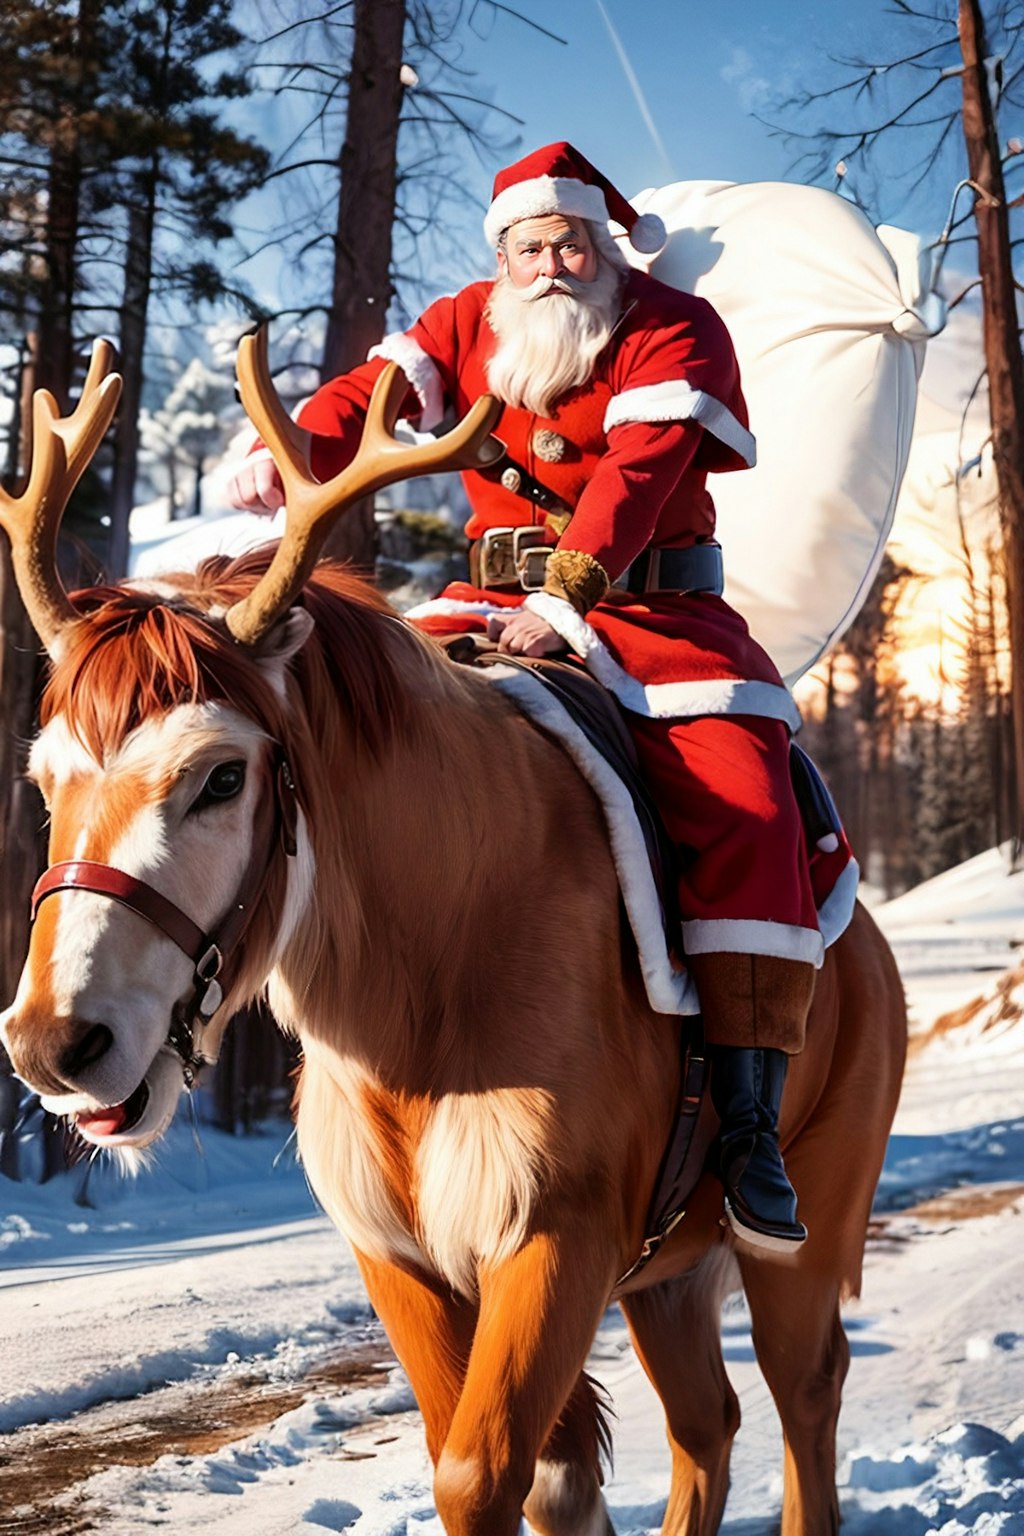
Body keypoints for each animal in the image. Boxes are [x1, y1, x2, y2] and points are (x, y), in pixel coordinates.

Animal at [0, 342, 902, 1529]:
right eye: (44, 777)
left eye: (221, 775)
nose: (56, 1042)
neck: (418, 997)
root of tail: (868, 953)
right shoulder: (400, 1255)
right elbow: (535, 1474)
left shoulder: (556, 1231)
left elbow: (480, 1473)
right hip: (668, 1272)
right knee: (707, 1423)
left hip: (810, 1218)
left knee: (806, 1396)